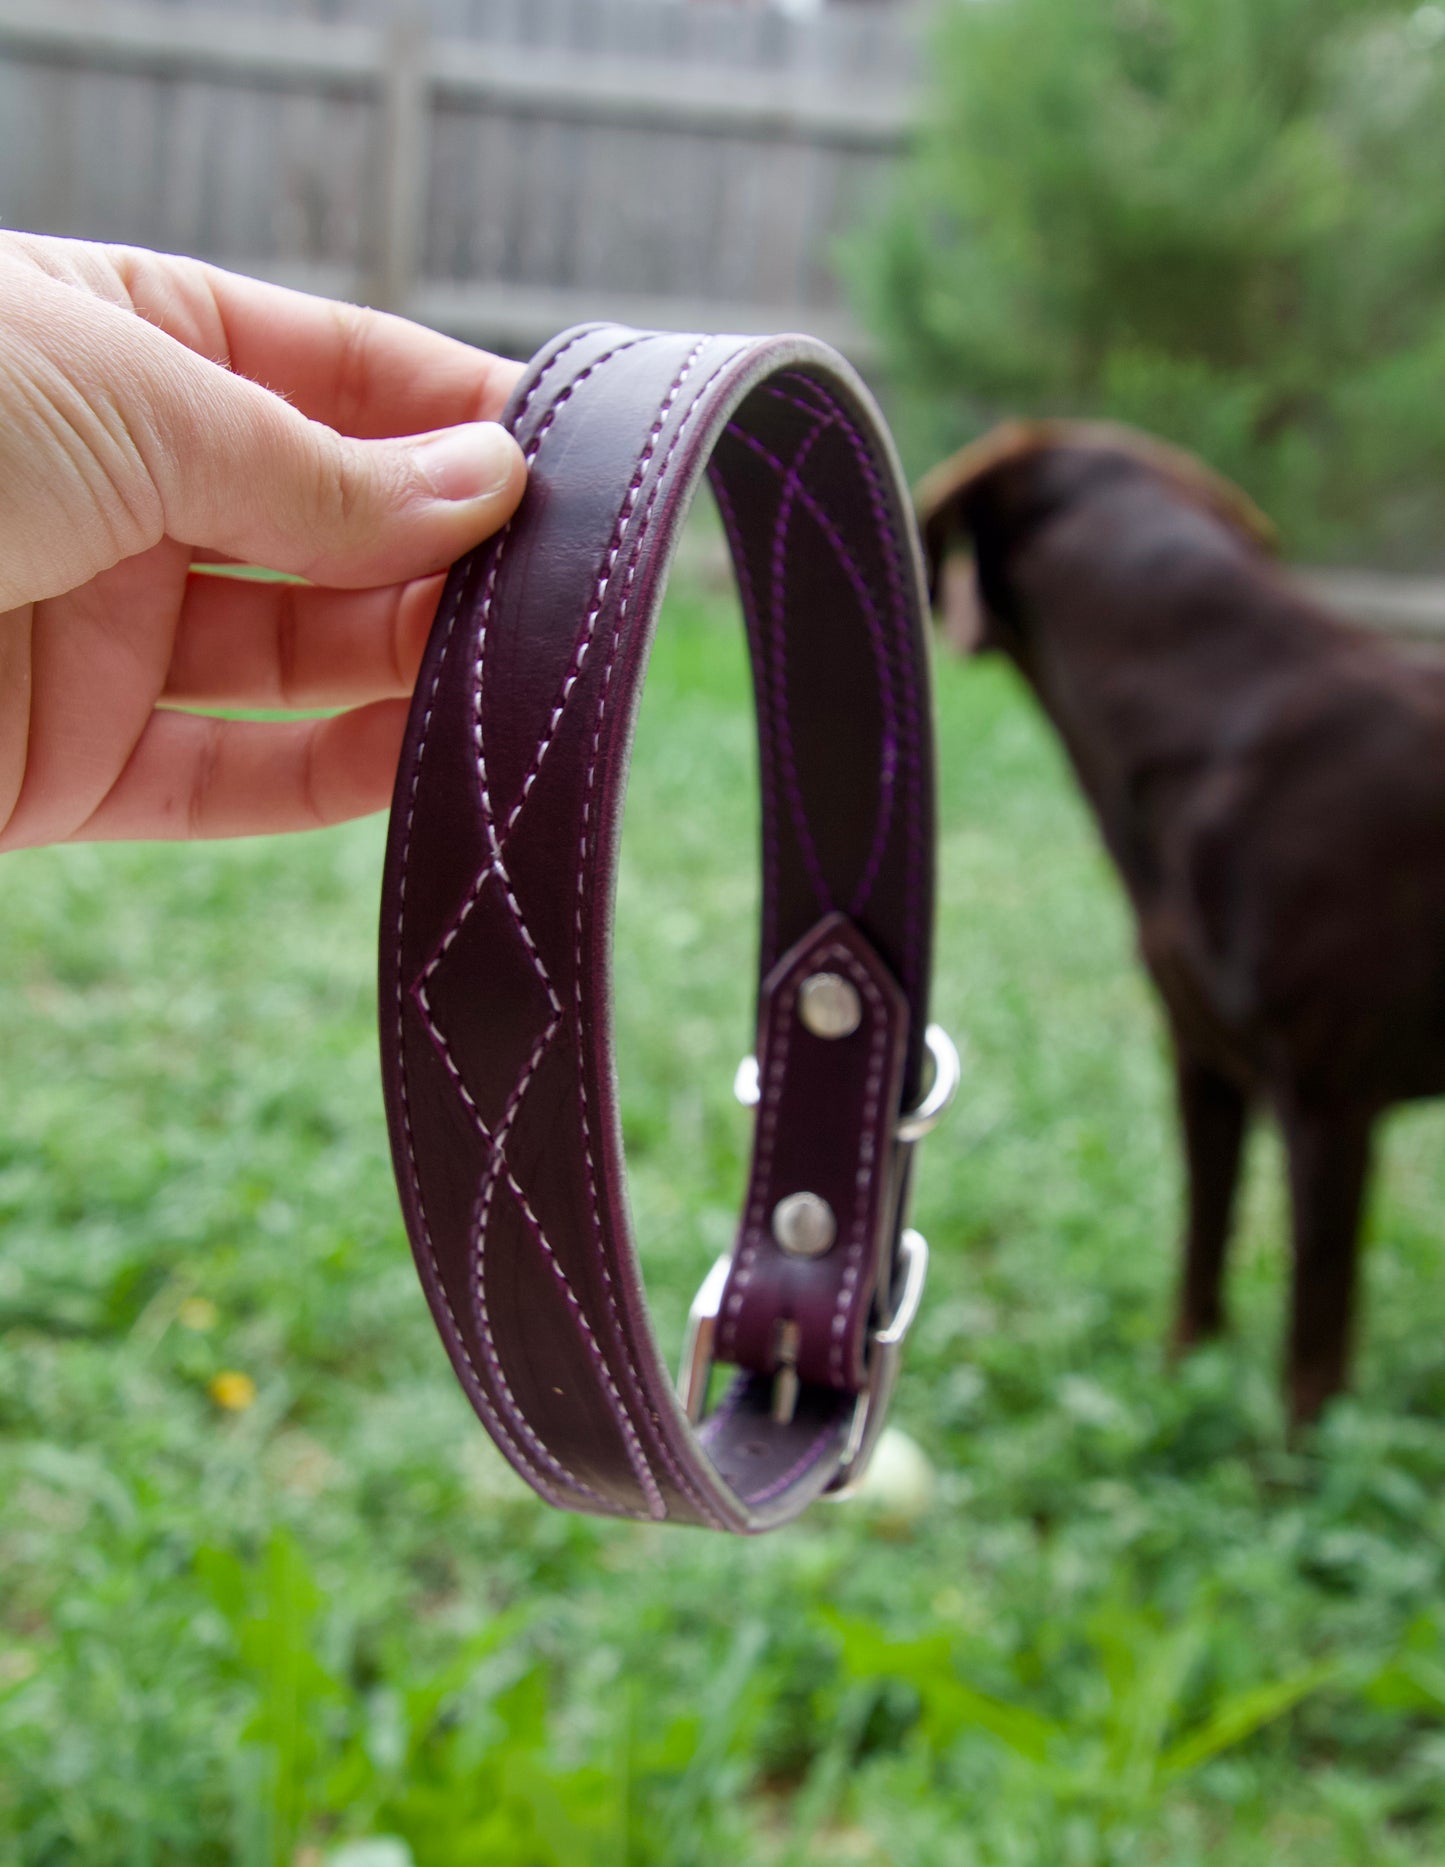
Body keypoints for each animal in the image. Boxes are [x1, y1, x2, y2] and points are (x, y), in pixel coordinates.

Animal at [922, 416, 1445, 1418]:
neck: (1215, 713)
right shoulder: (1202, 1060)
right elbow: (1200, 1255)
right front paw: (1178, 1385)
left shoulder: (1328, 1099)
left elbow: (1311, 1350)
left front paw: (1292, 1457)